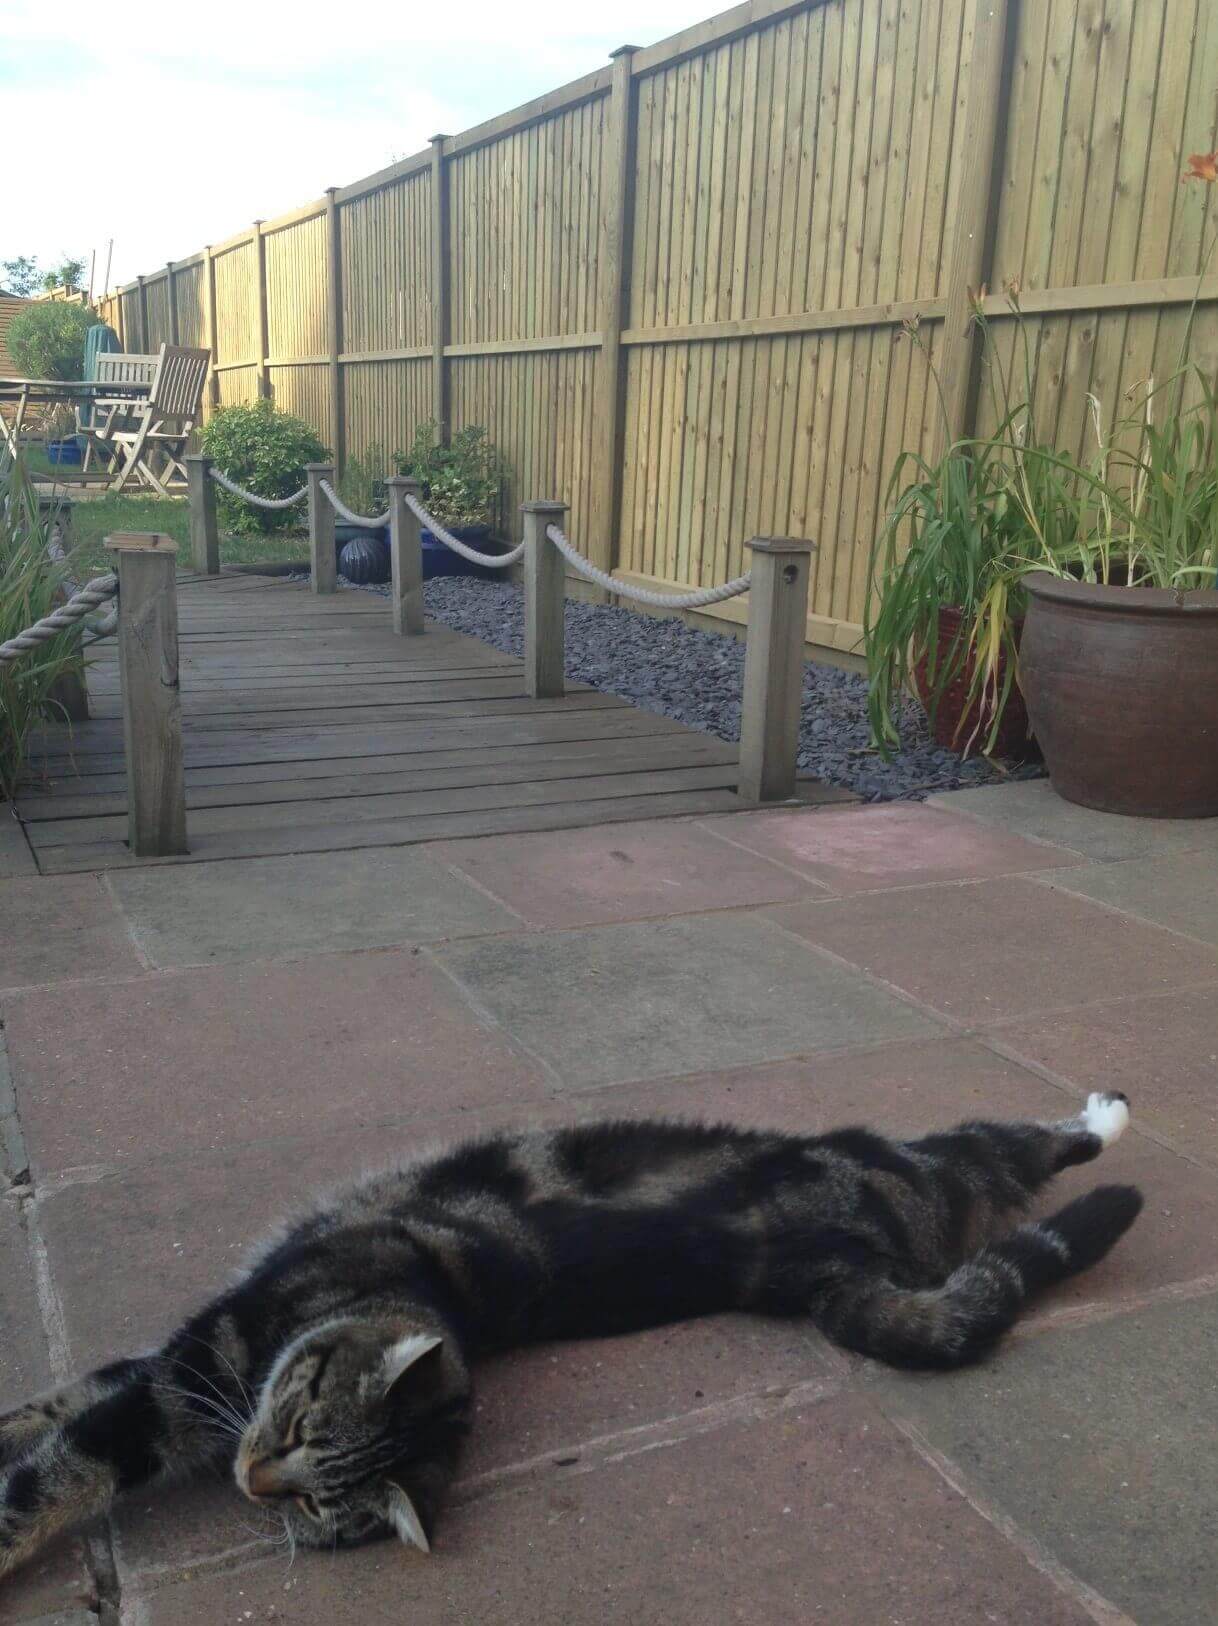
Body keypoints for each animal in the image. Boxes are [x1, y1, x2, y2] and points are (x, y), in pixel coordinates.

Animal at [0, 1092, 1138, 1573]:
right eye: (294, 1429)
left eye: (320, 1506)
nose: (249, 1482)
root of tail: (834, 1258)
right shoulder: (195, 1366)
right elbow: (63, 1399)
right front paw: (14, 1417)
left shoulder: (182, 1378)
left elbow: (66, 1465)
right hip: (934, 1169)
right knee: (1023, 1149)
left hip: (934, 1160)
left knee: (1035, 1141)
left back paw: (1108, 1116)